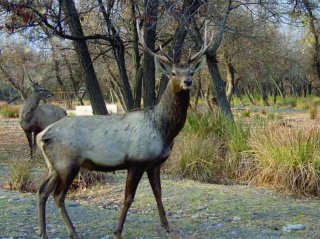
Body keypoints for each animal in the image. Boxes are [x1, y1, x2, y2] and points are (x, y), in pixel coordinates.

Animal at [35, 23, 212, 238]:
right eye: (173, 73)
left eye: (191, 72)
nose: (188, 82)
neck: (163, 130)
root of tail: (41, 135)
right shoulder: (136, 161)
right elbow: (128, 198)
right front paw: (117, 231)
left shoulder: (154, 163)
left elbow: (158, 193)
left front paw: (167, 226)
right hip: (67, 162)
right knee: (58, 195)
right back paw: (72, 232)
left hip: (53, 165)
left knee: (42, 190)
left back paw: (43, 232)